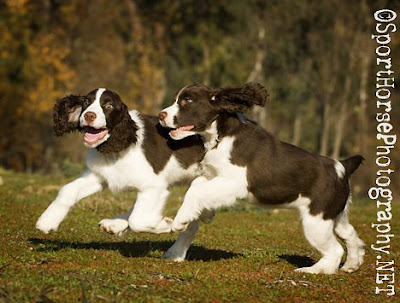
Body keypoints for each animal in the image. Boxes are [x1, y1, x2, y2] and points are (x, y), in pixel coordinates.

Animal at [159, 83, 366, 276]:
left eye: (187, 101)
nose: (161, 115)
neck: (221, 134)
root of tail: (341, 167)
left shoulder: (236, 182)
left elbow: (196, 190)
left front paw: (181, 220)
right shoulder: (214, 175)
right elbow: (199, 185)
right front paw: (206, 214)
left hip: (316, 220)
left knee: (335, 250)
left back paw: (313, 270)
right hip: (335, 215)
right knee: (350, 235)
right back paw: (351, 265)